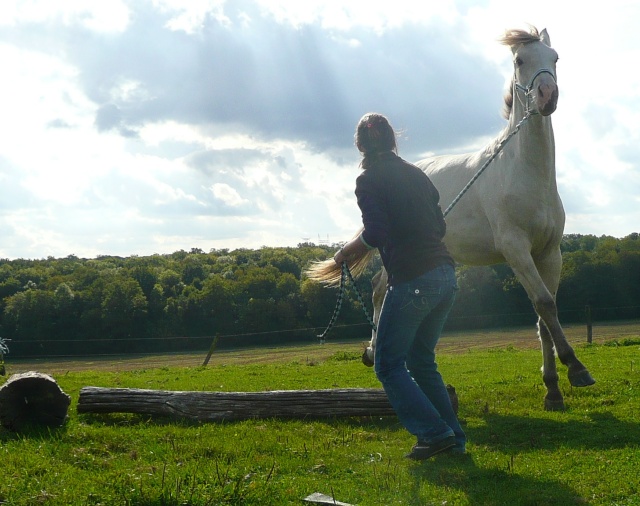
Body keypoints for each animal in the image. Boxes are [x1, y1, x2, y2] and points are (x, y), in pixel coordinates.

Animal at [306, 26, 596, 412]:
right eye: (520, 60)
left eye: (555, 58)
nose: (548, 95)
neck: (524, 173)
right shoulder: (515, 250)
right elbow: (545, 305)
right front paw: (576, 369)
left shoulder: (550, 253)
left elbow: (544, 316)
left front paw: (553, 390)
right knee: (380, 289)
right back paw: (373, 351)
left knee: (384, 288)